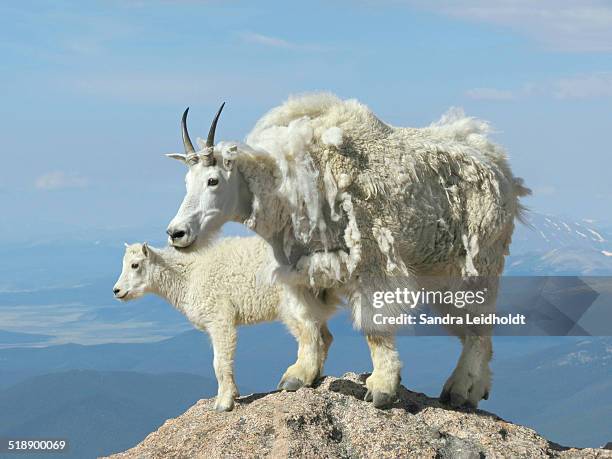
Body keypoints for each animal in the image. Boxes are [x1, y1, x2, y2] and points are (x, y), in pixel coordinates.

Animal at [113, 237, 334, 414]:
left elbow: (218, 362)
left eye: (134, 265)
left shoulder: (219, 316)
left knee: (308, 331)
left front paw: (224, 402)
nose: (116, 291)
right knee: (324, 335)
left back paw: (297, 377)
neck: (188, 276)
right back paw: (315, 376)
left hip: (291, 298)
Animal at [165, 94, 528, 410]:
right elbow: (307, 325)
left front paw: (381, 389)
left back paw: (462, 390)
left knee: (479, 326)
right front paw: (298, 376)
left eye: (213, 180)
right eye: (186, 181)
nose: (176, 233)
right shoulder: (300, 270)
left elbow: (374, 328)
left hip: (479, 260)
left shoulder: (371, 262)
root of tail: (503, 168)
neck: (288, 188)